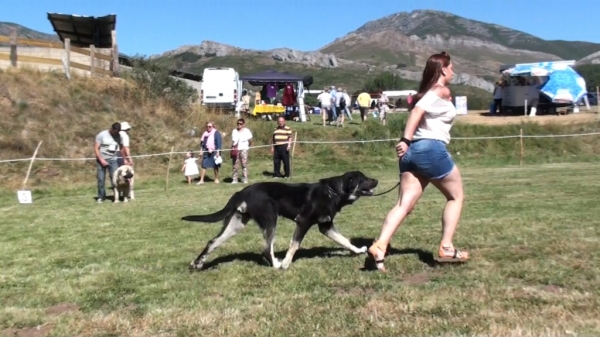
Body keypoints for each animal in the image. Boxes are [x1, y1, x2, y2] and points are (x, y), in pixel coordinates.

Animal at [183, 171, 380, 270]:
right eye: (363, 178)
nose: (376, 180)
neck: (333, 192)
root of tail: (242, 192)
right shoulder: (303, 221)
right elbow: (294, 245)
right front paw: (286, 263)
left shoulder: (326, 226)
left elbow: (345, 241)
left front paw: (358, 250)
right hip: (270, 218)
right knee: (266, 249)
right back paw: (277, 264)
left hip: (237, 223)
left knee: (213, 242)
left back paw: (197, 264)